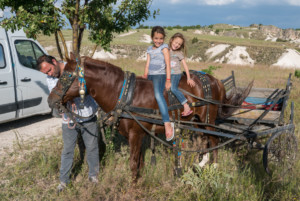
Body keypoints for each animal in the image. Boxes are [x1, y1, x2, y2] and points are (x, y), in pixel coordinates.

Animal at [48, 55, 252, 179]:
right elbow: (140, 162)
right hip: (196, 121)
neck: (124, 94)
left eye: (66, 77)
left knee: (214, 139)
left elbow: (133, 164)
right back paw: (201, 162)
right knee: (204, 140)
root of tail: (215, 80)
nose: (51, 99)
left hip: (208, 119)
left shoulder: (135, 135)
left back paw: (214, 167)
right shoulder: (140, 135)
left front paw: (132, 187)